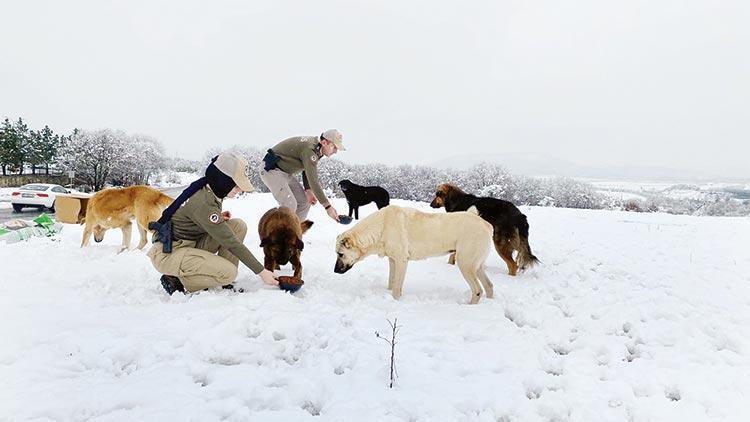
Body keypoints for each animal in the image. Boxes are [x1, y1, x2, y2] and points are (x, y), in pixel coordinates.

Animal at [334, 204, 494, 304]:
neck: (381, 228)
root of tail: (486, 225)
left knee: (478, 290)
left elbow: (396, 289)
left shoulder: (401, 261)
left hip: (465, 264)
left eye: (340, 254)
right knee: (489, 286)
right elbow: (391, 283)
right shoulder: (393, 260)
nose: (334, 271)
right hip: (476, 266)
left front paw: (395, 301)